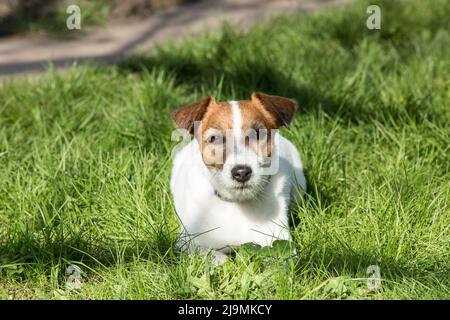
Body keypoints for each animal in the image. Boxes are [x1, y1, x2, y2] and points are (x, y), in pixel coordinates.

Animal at [169, 92, 306, 262]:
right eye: (214, 138)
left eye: (258, 134)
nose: (241, 173)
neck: (237, 203)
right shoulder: (188, 243)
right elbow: (217, 257)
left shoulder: (281, 242)